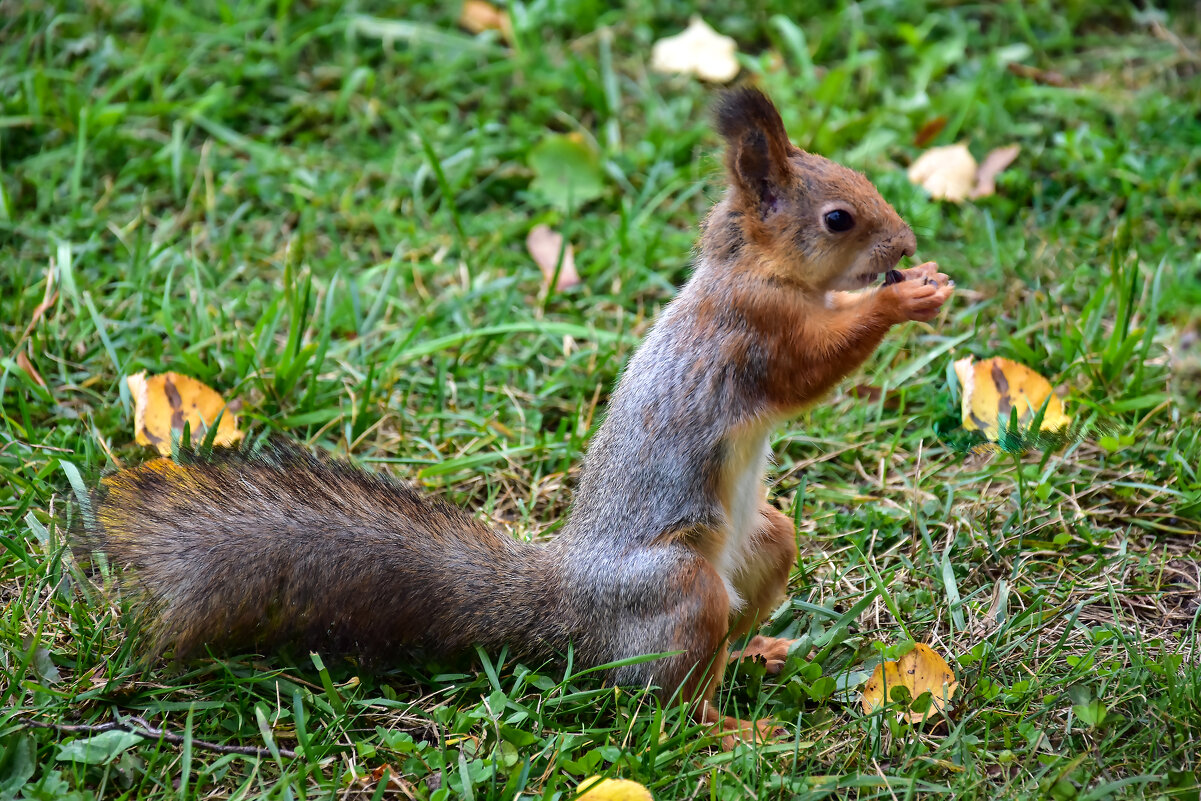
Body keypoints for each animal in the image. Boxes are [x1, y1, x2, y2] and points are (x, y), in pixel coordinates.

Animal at [79, 90, 951, 749]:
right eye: (838, 218)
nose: (907, 241)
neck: (750, 267)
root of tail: (567, 604)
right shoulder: (753, 332)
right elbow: (809, 368)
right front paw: (901, 300)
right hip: (677, 587)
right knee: (662, 700)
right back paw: (728, 727)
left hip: (764, 541)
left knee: (731, 619)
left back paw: (757, 651)